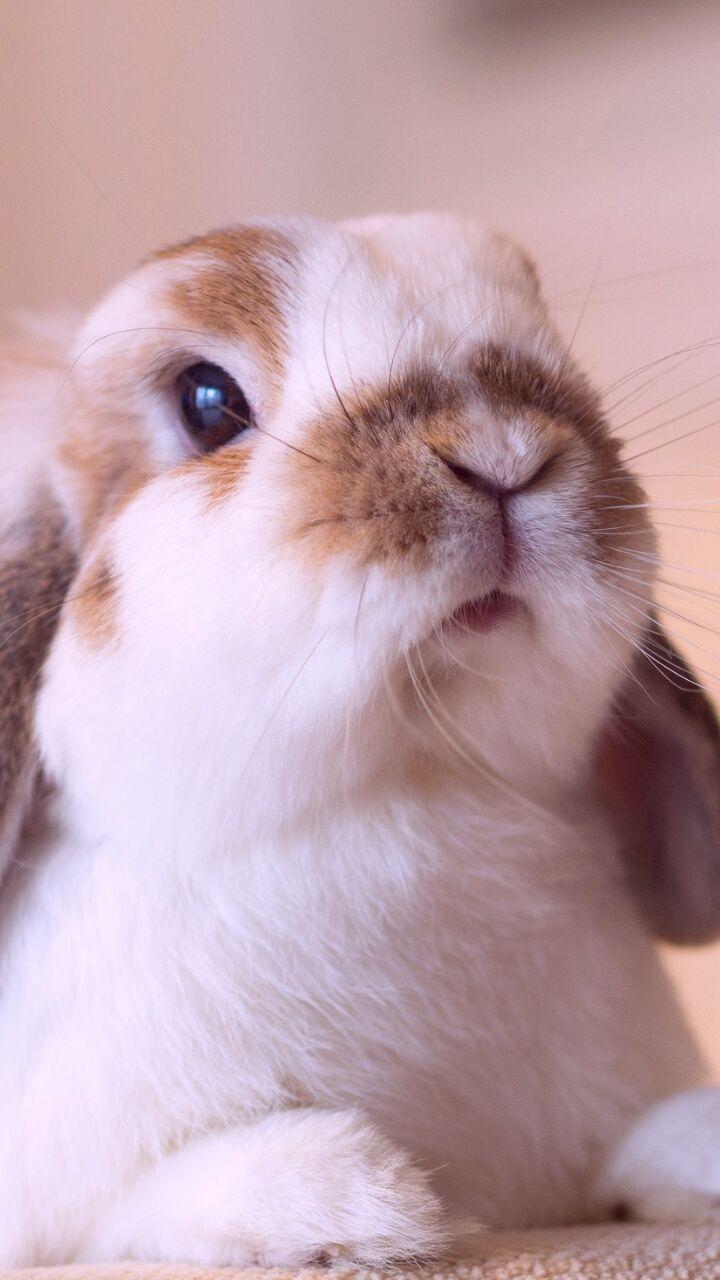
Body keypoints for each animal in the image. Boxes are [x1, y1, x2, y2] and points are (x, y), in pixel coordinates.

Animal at [0, 212, 719, 1268]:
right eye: (207, 401)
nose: (502, 453)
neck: (413, 778)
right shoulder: (60, 1206)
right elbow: (142, 1207)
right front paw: (360, 1200)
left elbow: (638, 1150)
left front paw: (695, 1152)